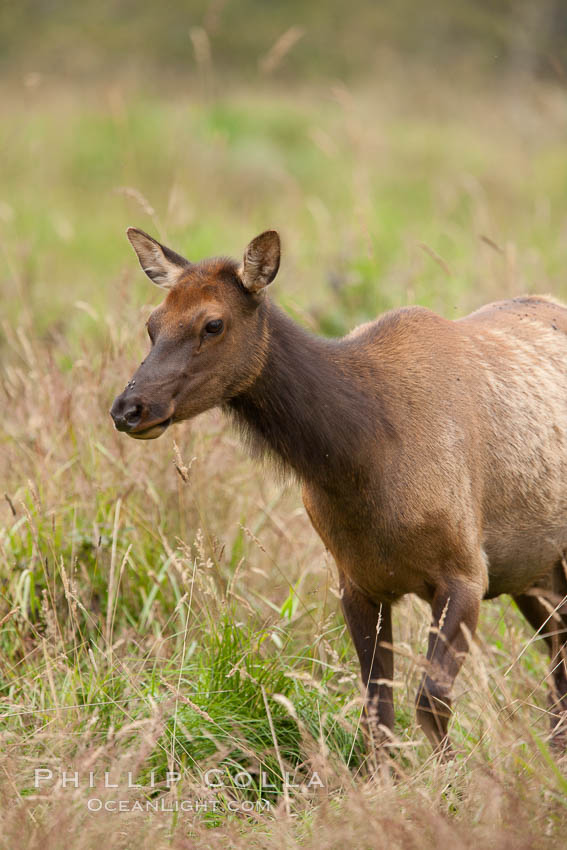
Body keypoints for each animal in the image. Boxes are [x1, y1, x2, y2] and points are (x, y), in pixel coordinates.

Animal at [111, 229, 567, 752]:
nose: (129, 408)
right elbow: (377, 710)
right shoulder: (357, 582)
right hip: (536, 570)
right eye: (152, 324)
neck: (364, 459)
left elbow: (431, 701)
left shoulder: (467, 571)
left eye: (213, 324)